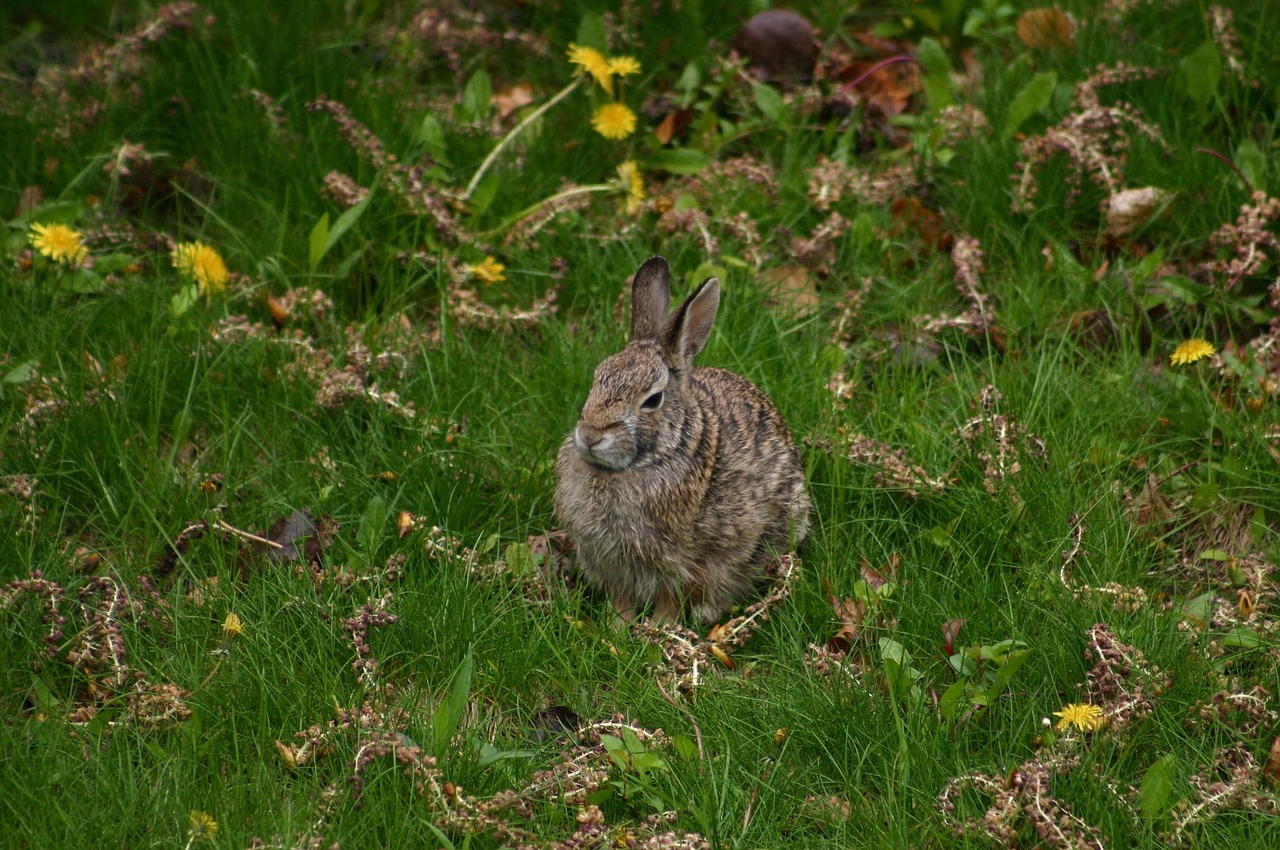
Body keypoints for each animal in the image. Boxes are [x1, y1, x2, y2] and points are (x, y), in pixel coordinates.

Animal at [554, 256, 811, 623]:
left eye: (652, 400)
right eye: (597, 378)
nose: (591, 436)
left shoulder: (682, 563)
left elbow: (672, 598)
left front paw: (660, 629)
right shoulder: (611, 563)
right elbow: (622, 599)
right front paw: (617, 627)